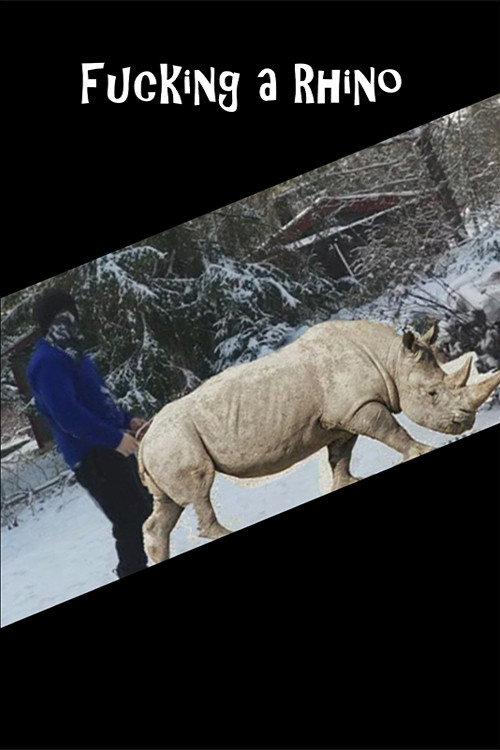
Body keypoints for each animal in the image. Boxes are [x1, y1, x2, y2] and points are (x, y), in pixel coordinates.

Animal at [138, 320, 500, 563]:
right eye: (432, 394)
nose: (466, 423)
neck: (389, 359)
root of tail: (142, 441)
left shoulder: (342, 418)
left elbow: (341, 455)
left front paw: (346, 483)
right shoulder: (359, 407)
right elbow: (392, 432)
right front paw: (423, 450)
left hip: (165, 444)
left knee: (168, 505)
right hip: (173, 439)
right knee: (199, 488)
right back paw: (225, 532)